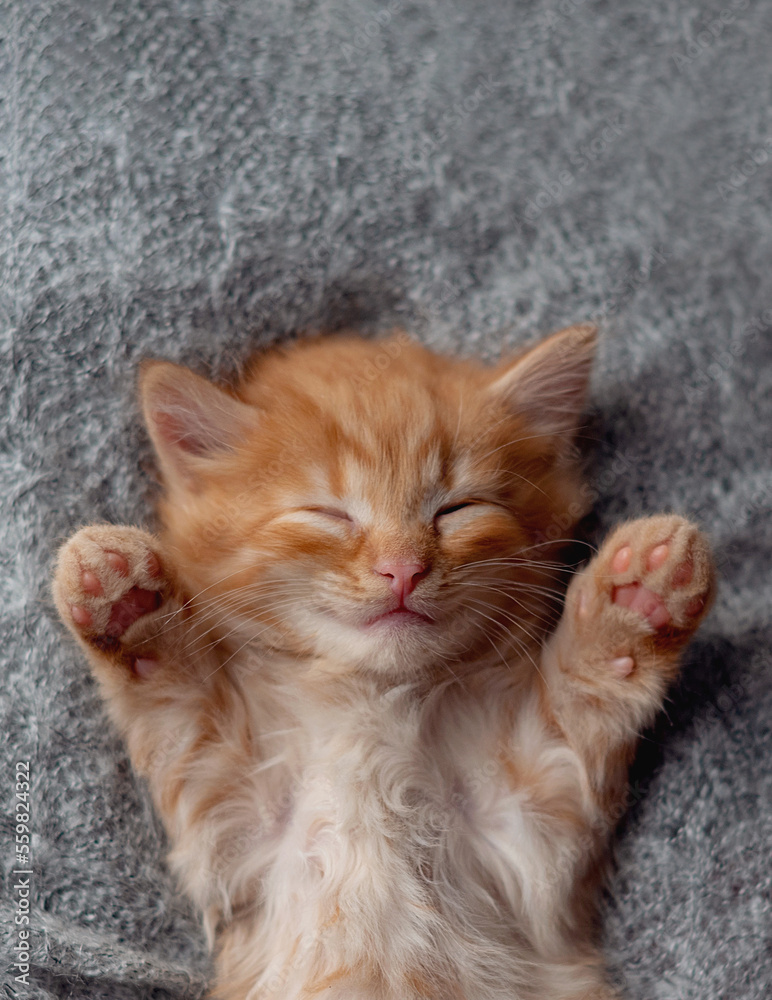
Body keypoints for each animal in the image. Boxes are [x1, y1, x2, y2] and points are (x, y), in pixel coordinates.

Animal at [55, 324, 716, 996]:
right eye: (328, 513)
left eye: (457, 508)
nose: (403, 569)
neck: (372, 707)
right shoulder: (234, 821)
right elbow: (177, 697)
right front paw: (127, 602)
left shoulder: (534, 827)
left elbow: (583, 702)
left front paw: (636, 599)